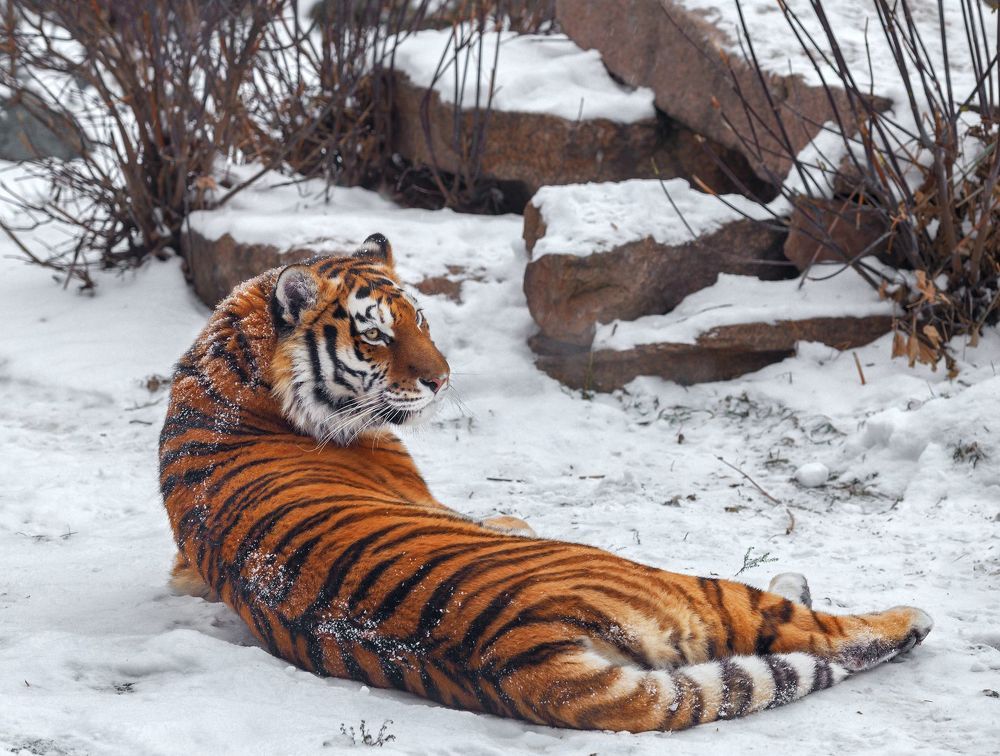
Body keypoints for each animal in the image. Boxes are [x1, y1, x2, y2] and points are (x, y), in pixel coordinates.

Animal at [159, 233, 932, 733]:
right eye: (375, 334)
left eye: (422, 318)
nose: (442, 379)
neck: (232, 365)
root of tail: (518, 658)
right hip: (678, 585)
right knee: (818, 632)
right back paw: (897, 614)